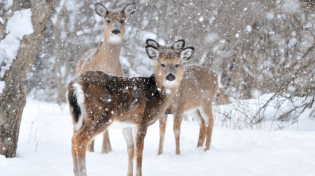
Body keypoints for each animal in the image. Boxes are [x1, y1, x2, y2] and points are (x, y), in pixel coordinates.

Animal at [68, 40, 194, 176]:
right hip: (101, 115)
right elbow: (139, 151)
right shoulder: (142, 120)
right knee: (79, 140)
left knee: (72, 139)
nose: (170, 76)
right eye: (162, 64)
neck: (156, 95)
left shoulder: (127, 124)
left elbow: (130, 150)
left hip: (77, 116)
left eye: (177, 64)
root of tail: (74, 85)